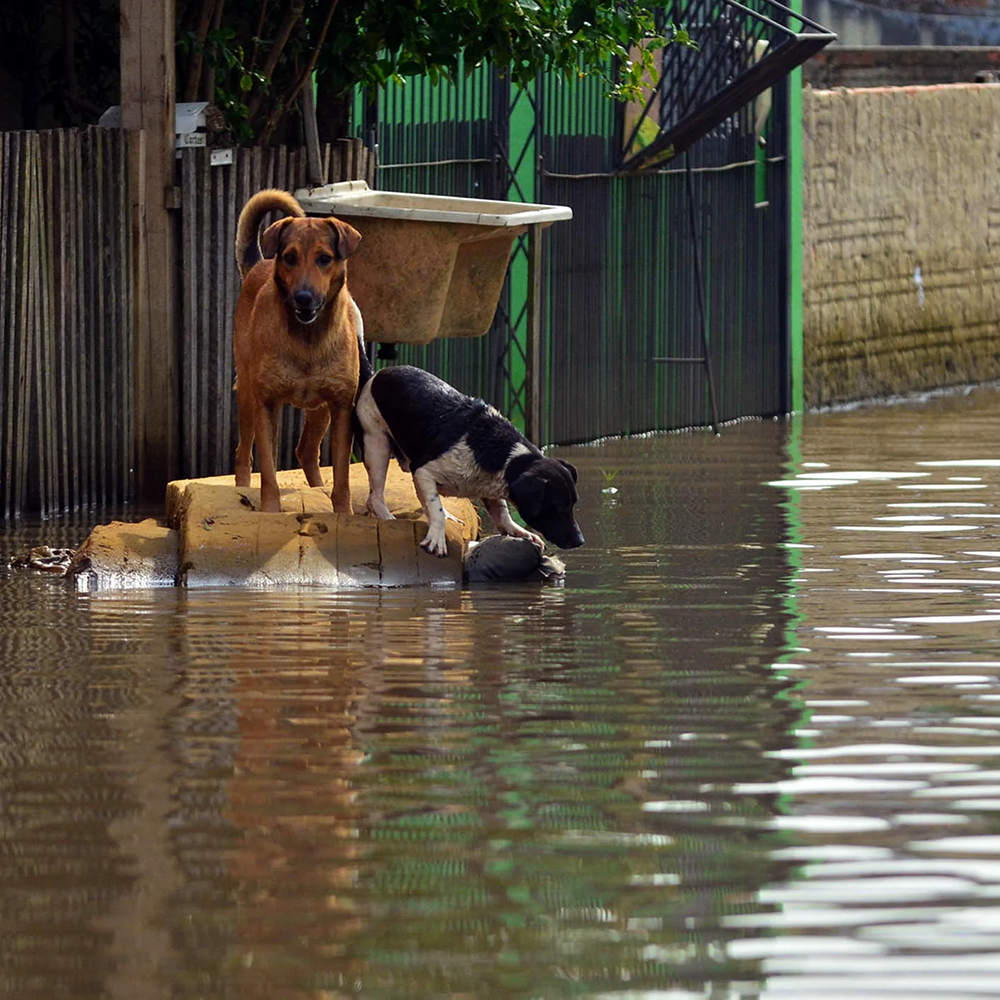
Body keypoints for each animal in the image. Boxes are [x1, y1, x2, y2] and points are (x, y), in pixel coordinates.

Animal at [233, 189, 364, 516]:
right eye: (290, 257)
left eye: (324, 259)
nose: (304, 298)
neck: (308, 338)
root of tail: (259, 263)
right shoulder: (266, 403)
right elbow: (268, 471)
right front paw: (269, 511)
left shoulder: (342, 406)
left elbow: (342, 475)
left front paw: (344, 514)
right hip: (248, 395)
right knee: (245, 453)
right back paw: (243, 488)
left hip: (321, 410)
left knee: (306, 451)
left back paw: (317, 489)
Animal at [356, 366, 584, 556]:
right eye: (558, 508)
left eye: (574, 504)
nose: (580, 541)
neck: (503, 456)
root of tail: (377, 374)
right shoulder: (424, 471)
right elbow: (436, 508)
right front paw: (437, 539)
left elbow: (502, 513)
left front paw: (519, 531)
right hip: (376, 445)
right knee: (375, 496)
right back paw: (387, 518)